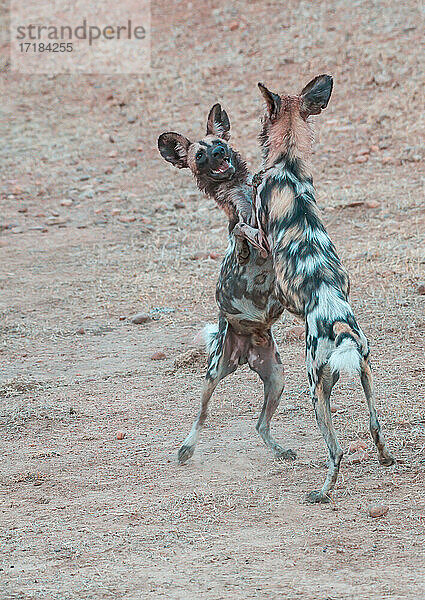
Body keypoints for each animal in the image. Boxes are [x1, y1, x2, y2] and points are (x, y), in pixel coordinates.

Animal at [157, 105, 294, 464]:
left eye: (219, 144)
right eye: (199, 155)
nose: (218, 154)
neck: (239, 190)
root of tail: (244, 351)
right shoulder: (242, 229)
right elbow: (242, 231)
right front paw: (250, 241)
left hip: (276, 377)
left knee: (260, 424)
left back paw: (280, 450)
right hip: (212, 376)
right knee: (202, 416)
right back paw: (186, 448)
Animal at [242, 76, 394, 502]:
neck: (288, 165)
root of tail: (339, 325)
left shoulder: (260, 236)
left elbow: (243, 226)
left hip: (314, 389)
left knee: (336, 449)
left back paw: (323, 492)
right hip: (364, 372)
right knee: (375, 425)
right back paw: (385, 459)